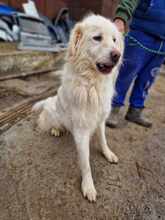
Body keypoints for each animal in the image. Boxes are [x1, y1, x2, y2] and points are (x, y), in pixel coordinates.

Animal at [32, 14, 123, 202]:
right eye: (97, 38)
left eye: (114, 40)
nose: (117, 55)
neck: (92, 83)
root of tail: (50, 101)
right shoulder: (81, 130)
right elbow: (86, 163)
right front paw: (88, 186)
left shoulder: (100, 119)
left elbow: (103, 140)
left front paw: (108, 154)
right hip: (53, 113)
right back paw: (56, 130)